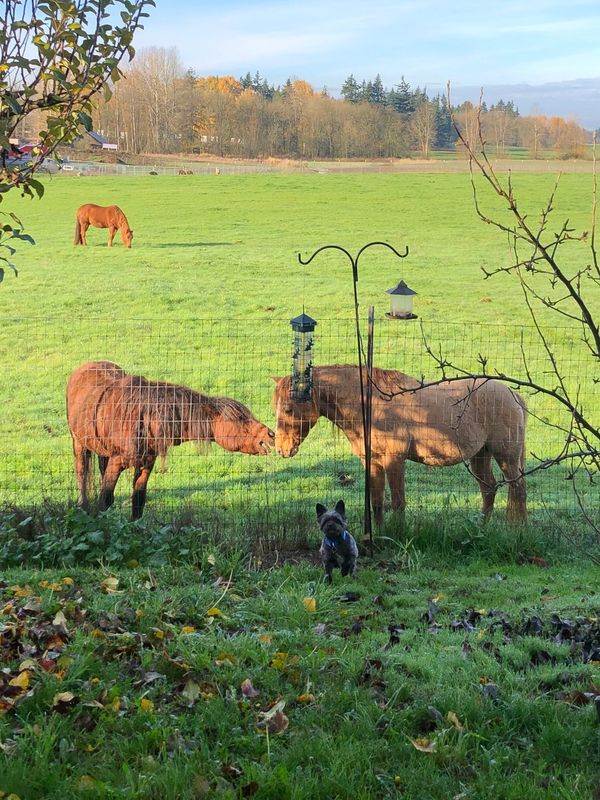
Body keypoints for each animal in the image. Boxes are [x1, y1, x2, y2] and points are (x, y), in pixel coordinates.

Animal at [67, 360, 274, 520]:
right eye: (240, 419)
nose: (270, 434)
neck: (145, 418)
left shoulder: (146, 464)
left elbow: (138, 501)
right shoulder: (117, 461)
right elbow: (105, 499)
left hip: (102, 450)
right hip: (78, 443)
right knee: (81, 472)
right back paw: (82, 505)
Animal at [274, 366, 528, 528]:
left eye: (287, 408)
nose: (281, 450)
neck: (371, 404)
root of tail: (512, 394)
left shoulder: (394, 460)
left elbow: (398, 502)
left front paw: (398, 533)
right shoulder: (373, 462)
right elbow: (377, 502)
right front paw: (379, 534)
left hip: (506, 457)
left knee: (518, 489)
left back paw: (517, 529)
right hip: (480, 456)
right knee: (489, 489)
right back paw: (481, 527)